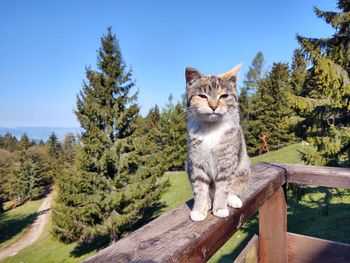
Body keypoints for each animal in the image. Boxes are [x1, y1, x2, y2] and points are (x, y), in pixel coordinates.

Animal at [185, 64, 250, 223]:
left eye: (224, 96)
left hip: (244, 167)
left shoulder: (227, 162)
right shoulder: (196, 162)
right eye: (203, 96)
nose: (213, 106)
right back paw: (209, 202)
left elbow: (223, 187)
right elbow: (200, 188)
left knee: (232, 188)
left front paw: (220, 208)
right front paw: (199, 210)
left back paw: (232, 199)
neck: (211, 128)